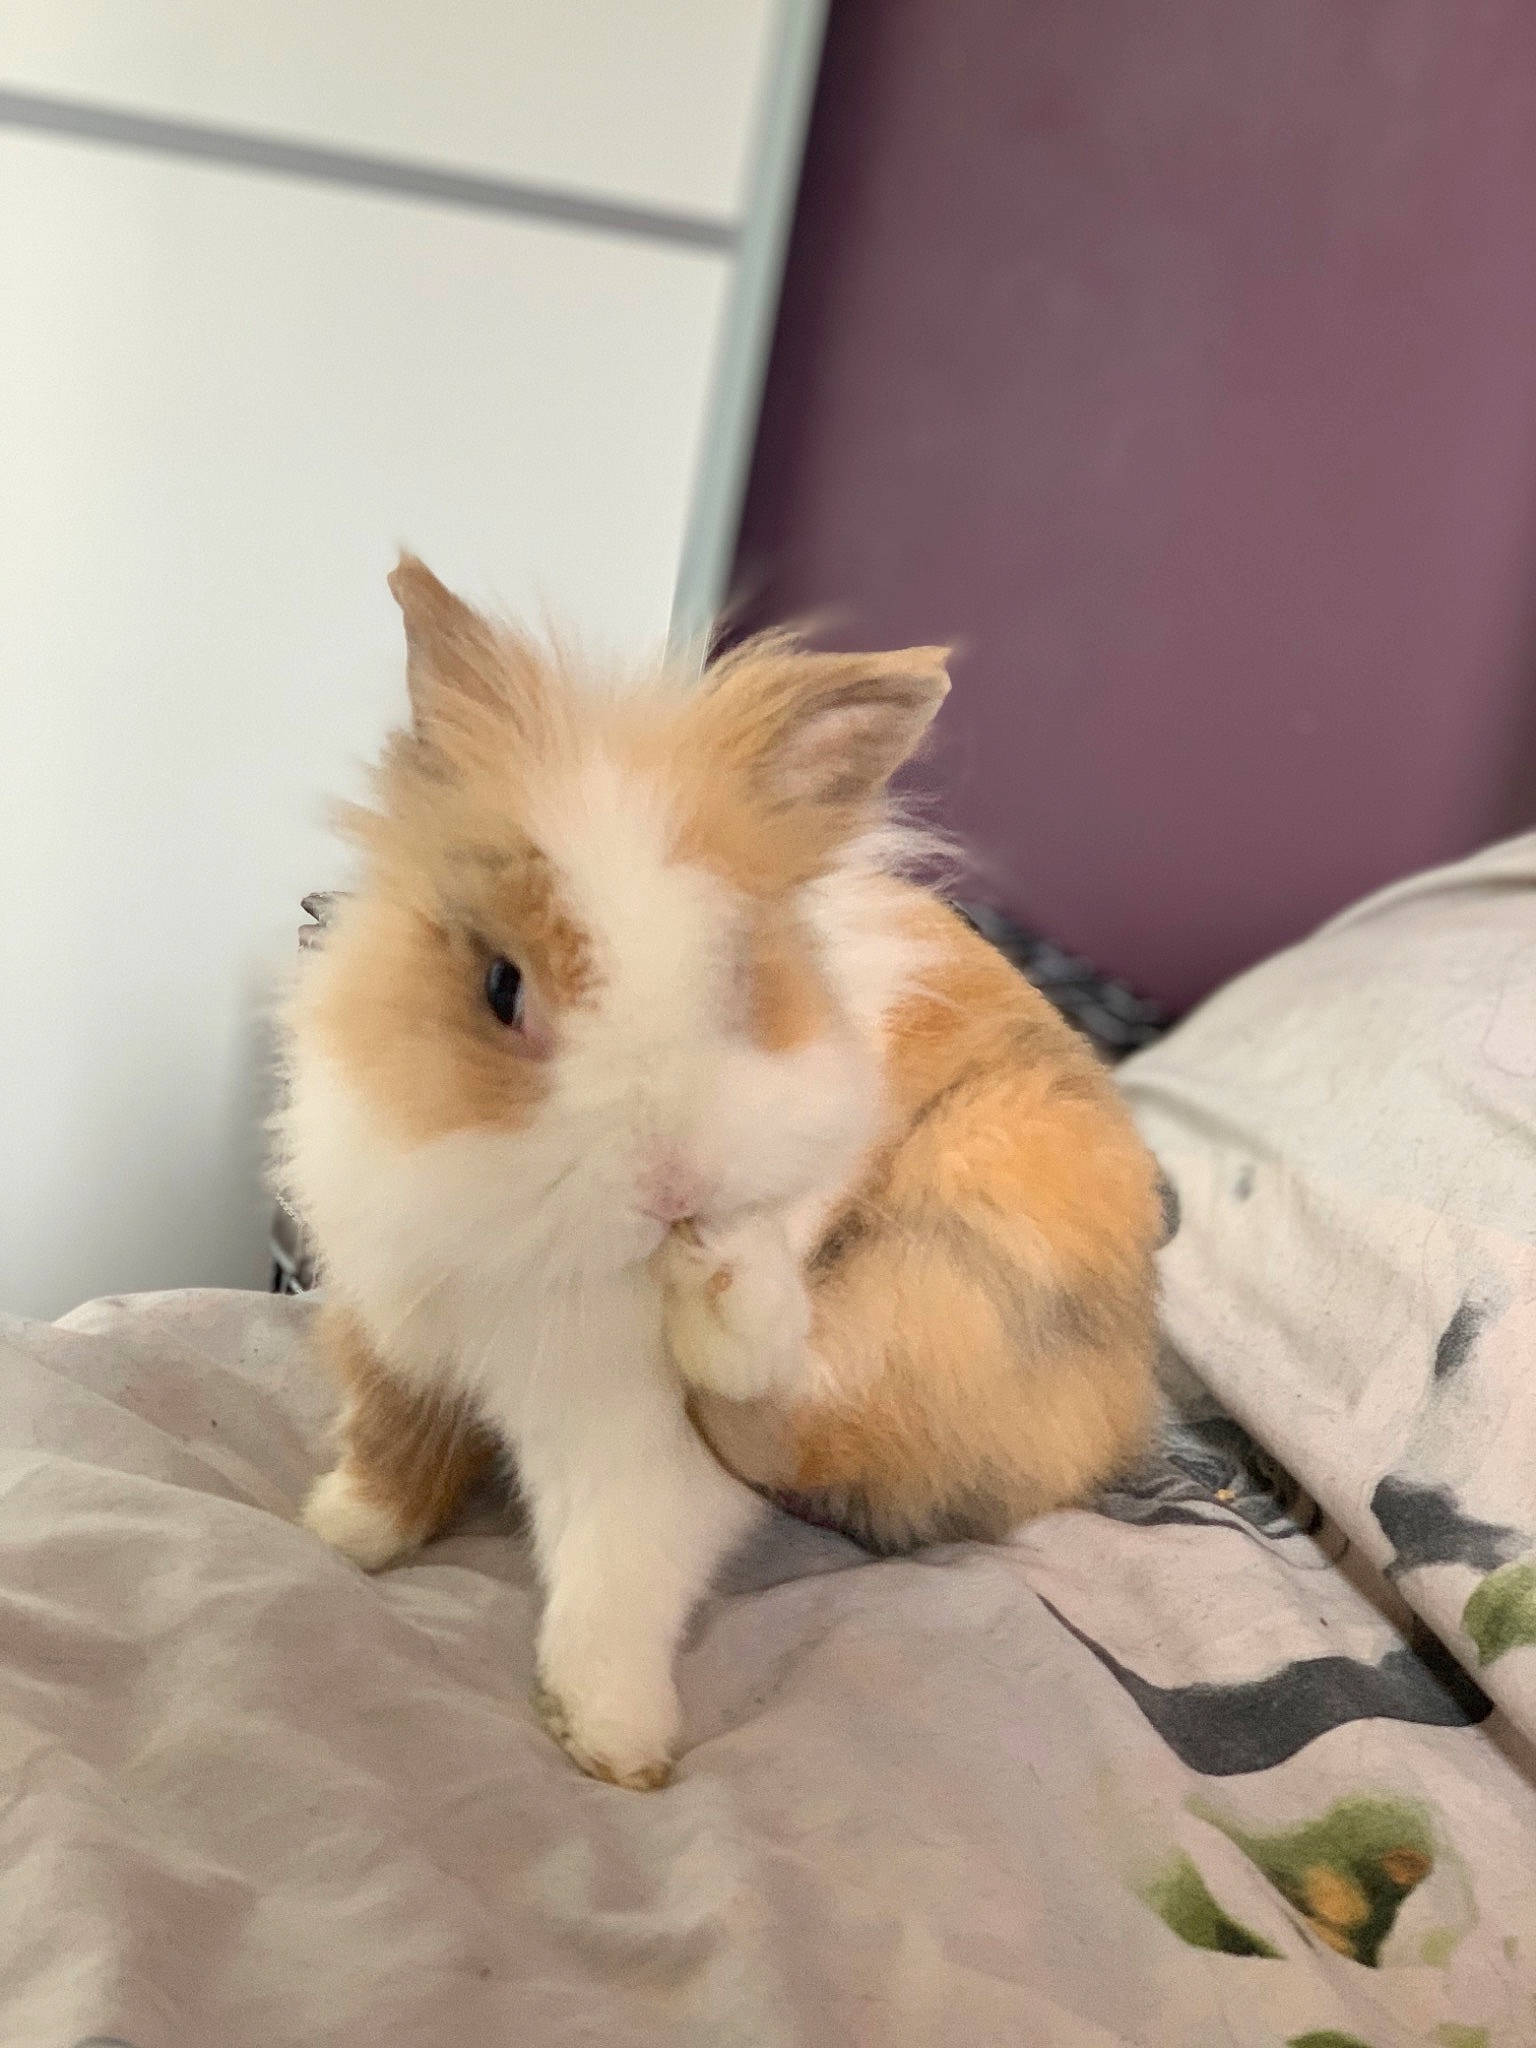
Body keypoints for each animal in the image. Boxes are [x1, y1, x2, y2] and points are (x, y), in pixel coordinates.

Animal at [276, 556, 1163, 1789]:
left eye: (742, 980)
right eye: (501, 985)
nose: (674, 1193)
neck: (535, 1247)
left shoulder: (638, 1448)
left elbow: (617, 1574)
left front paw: (616, 1743)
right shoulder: (394, 1324)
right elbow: (389, 1441)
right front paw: (345, 1532)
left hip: (967, 1249)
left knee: (792, 1407)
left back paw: (732, 1303)